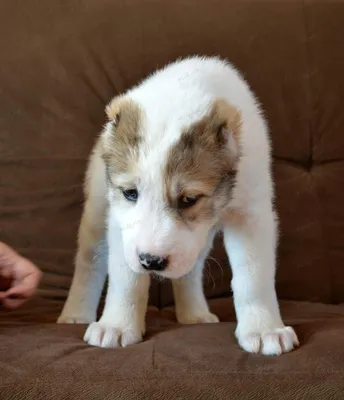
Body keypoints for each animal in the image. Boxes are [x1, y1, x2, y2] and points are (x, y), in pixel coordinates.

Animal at [57, 56, 298, 356]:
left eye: (189, 200)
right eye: (131, 193)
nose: (151, 262)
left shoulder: (251, 214)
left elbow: (254, 275)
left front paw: (264, 330)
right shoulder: (119, 221)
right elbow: (125, 277)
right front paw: (116, 325)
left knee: (190, 270)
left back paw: (194, 314)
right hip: (96, 210)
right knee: (88, 262)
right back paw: (76, 313)